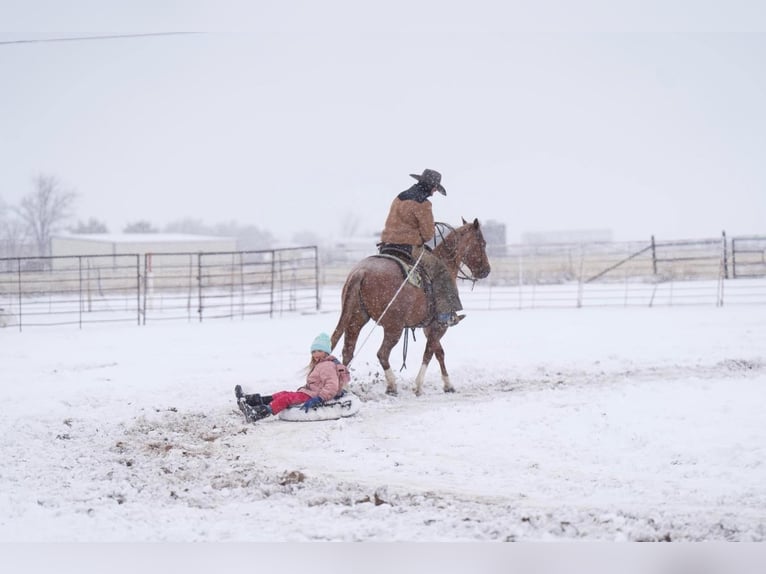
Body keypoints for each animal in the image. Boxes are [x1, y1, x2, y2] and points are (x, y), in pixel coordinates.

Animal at [330, 218, 492, 398]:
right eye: (483, 243)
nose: (486, 270)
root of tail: (361, 271)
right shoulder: (439, 326)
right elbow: (429, 353)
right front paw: (419, 386)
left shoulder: (429, 328)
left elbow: (439, 352)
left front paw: (448, 385)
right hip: (394, 327)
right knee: (382, 353)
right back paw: (392, 386)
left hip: (356, 319)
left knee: (348, 350)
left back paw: (345, 388)